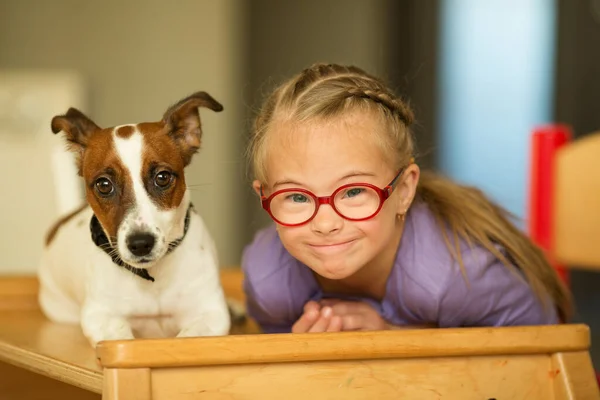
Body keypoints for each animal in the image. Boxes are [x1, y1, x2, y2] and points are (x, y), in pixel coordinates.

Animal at [38, 90, 232, 346]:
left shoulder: (210, 313)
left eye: (162, 177)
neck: (152, 278)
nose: (140, 244)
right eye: (103, 185)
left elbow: (189, 337)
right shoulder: (100, 316)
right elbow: (120, 337)